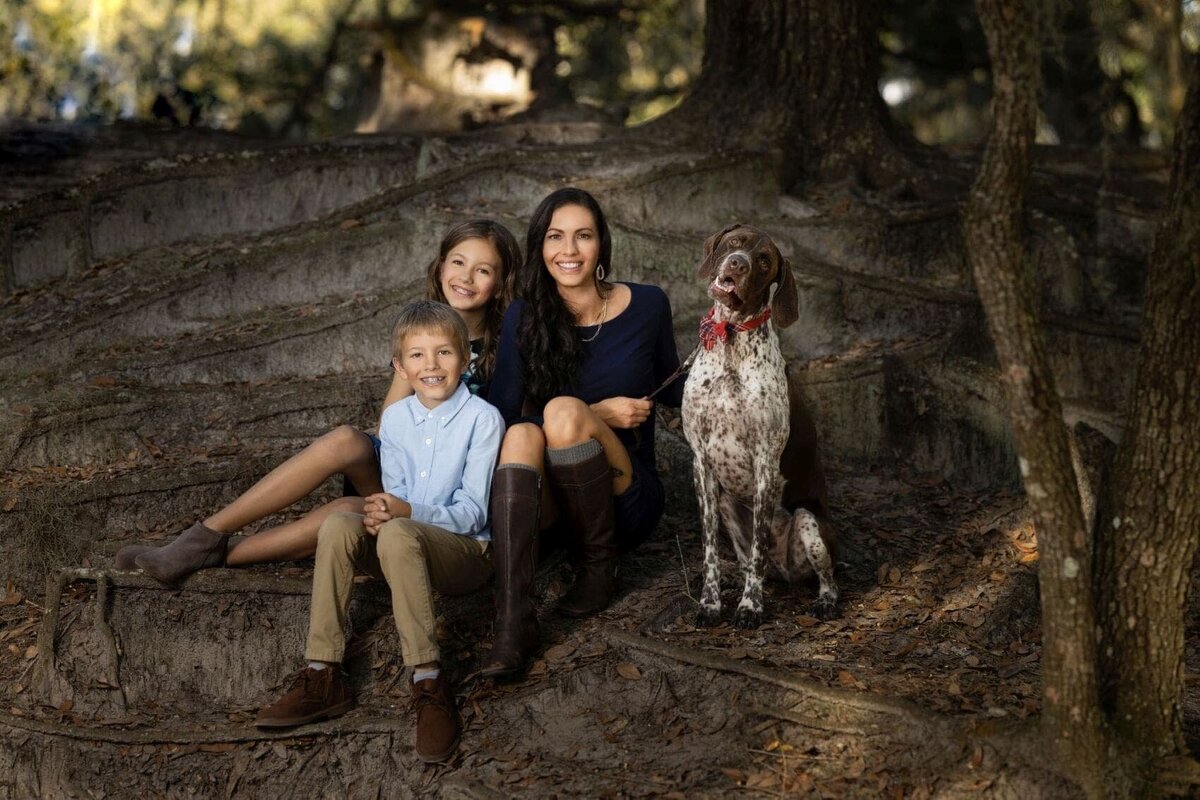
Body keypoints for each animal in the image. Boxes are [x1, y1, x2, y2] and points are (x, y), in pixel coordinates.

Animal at [681, 221, 840, 628]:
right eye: (736, 242)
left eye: (765, 261)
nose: (737, 264)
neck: (730, 337)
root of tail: (784, 572)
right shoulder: (701, 464)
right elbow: (710, 551)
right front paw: (710, 604)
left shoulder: (765, 465)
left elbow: (758, 550)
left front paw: (750, 607)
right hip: (725, 502)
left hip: (809, 523)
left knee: (825, 575)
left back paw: (825, 600)